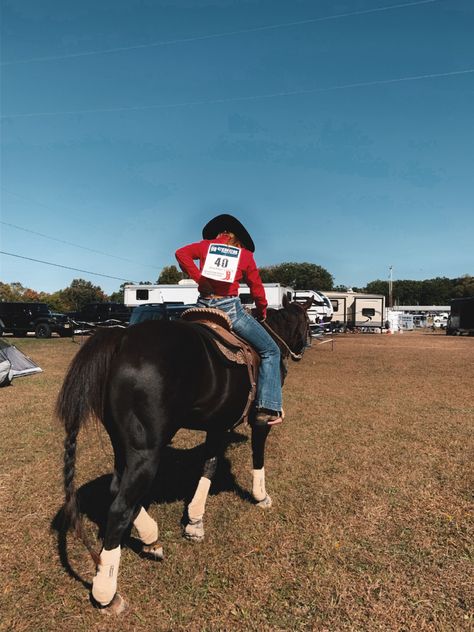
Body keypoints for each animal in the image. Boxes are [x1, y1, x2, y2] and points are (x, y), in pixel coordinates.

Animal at [57, 296, 312, 612]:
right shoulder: (260, 421)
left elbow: (209, 466)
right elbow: (257, 455)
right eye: (308, 321)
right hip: (146, 452)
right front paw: (261, 496)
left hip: (122, 444)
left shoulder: (218, 424)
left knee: (117, 487)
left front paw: (194, 522)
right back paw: (107, 592)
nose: (302, 348)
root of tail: (122, 339)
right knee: (119, 507)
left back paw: (151, 538)